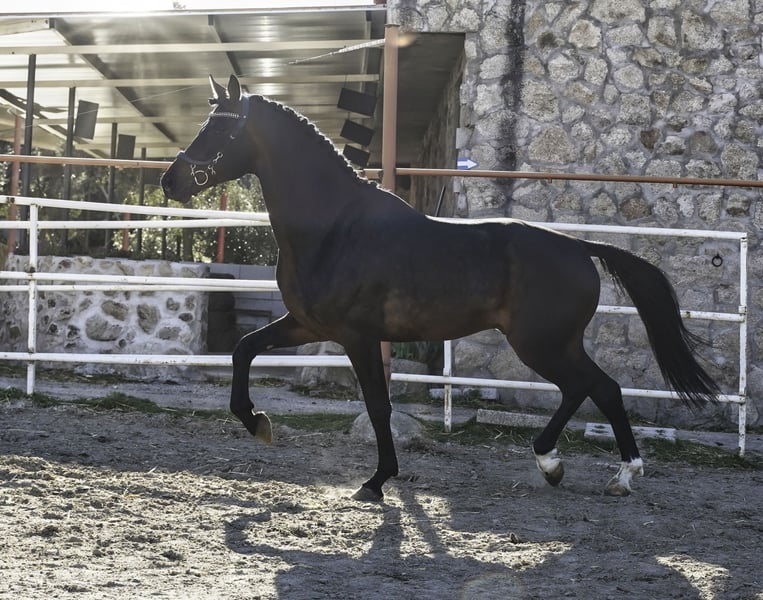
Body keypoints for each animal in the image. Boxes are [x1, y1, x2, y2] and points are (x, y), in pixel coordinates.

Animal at [160, 74, 719, 502]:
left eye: (218, 127)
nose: (170, 181)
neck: (333, 227)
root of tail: (579, 247)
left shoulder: (358, 336)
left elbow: (379, 406)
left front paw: (377, 481)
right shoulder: (307, 325)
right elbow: (243, 349)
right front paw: (257, 422)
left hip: (540, 343)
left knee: (591, 387)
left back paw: (576, 466)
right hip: (553, 344)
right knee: (597, 388)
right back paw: (596, 472)